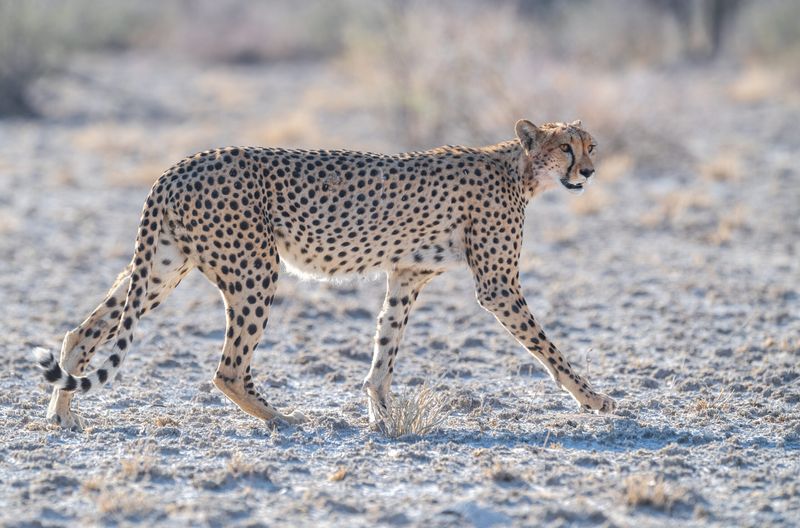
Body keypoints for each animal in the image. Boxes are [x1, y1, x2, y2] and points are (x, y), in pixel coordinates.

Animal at [34, 118, 616, 428]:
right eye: (566, 146)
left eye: (591, 145)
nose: (589, 171)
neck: (519, 168)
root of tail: (179, 164)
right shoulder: (498, 286)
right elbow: (548, 349)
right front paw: (594, 398)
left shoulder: (406, 275)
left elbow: (385, 347)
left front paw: (381, 416)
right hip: (254, 269)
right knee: (227, 368)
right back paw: (280, 418)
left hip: (162, 268)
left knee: (83, 330)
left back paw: (61, 415)